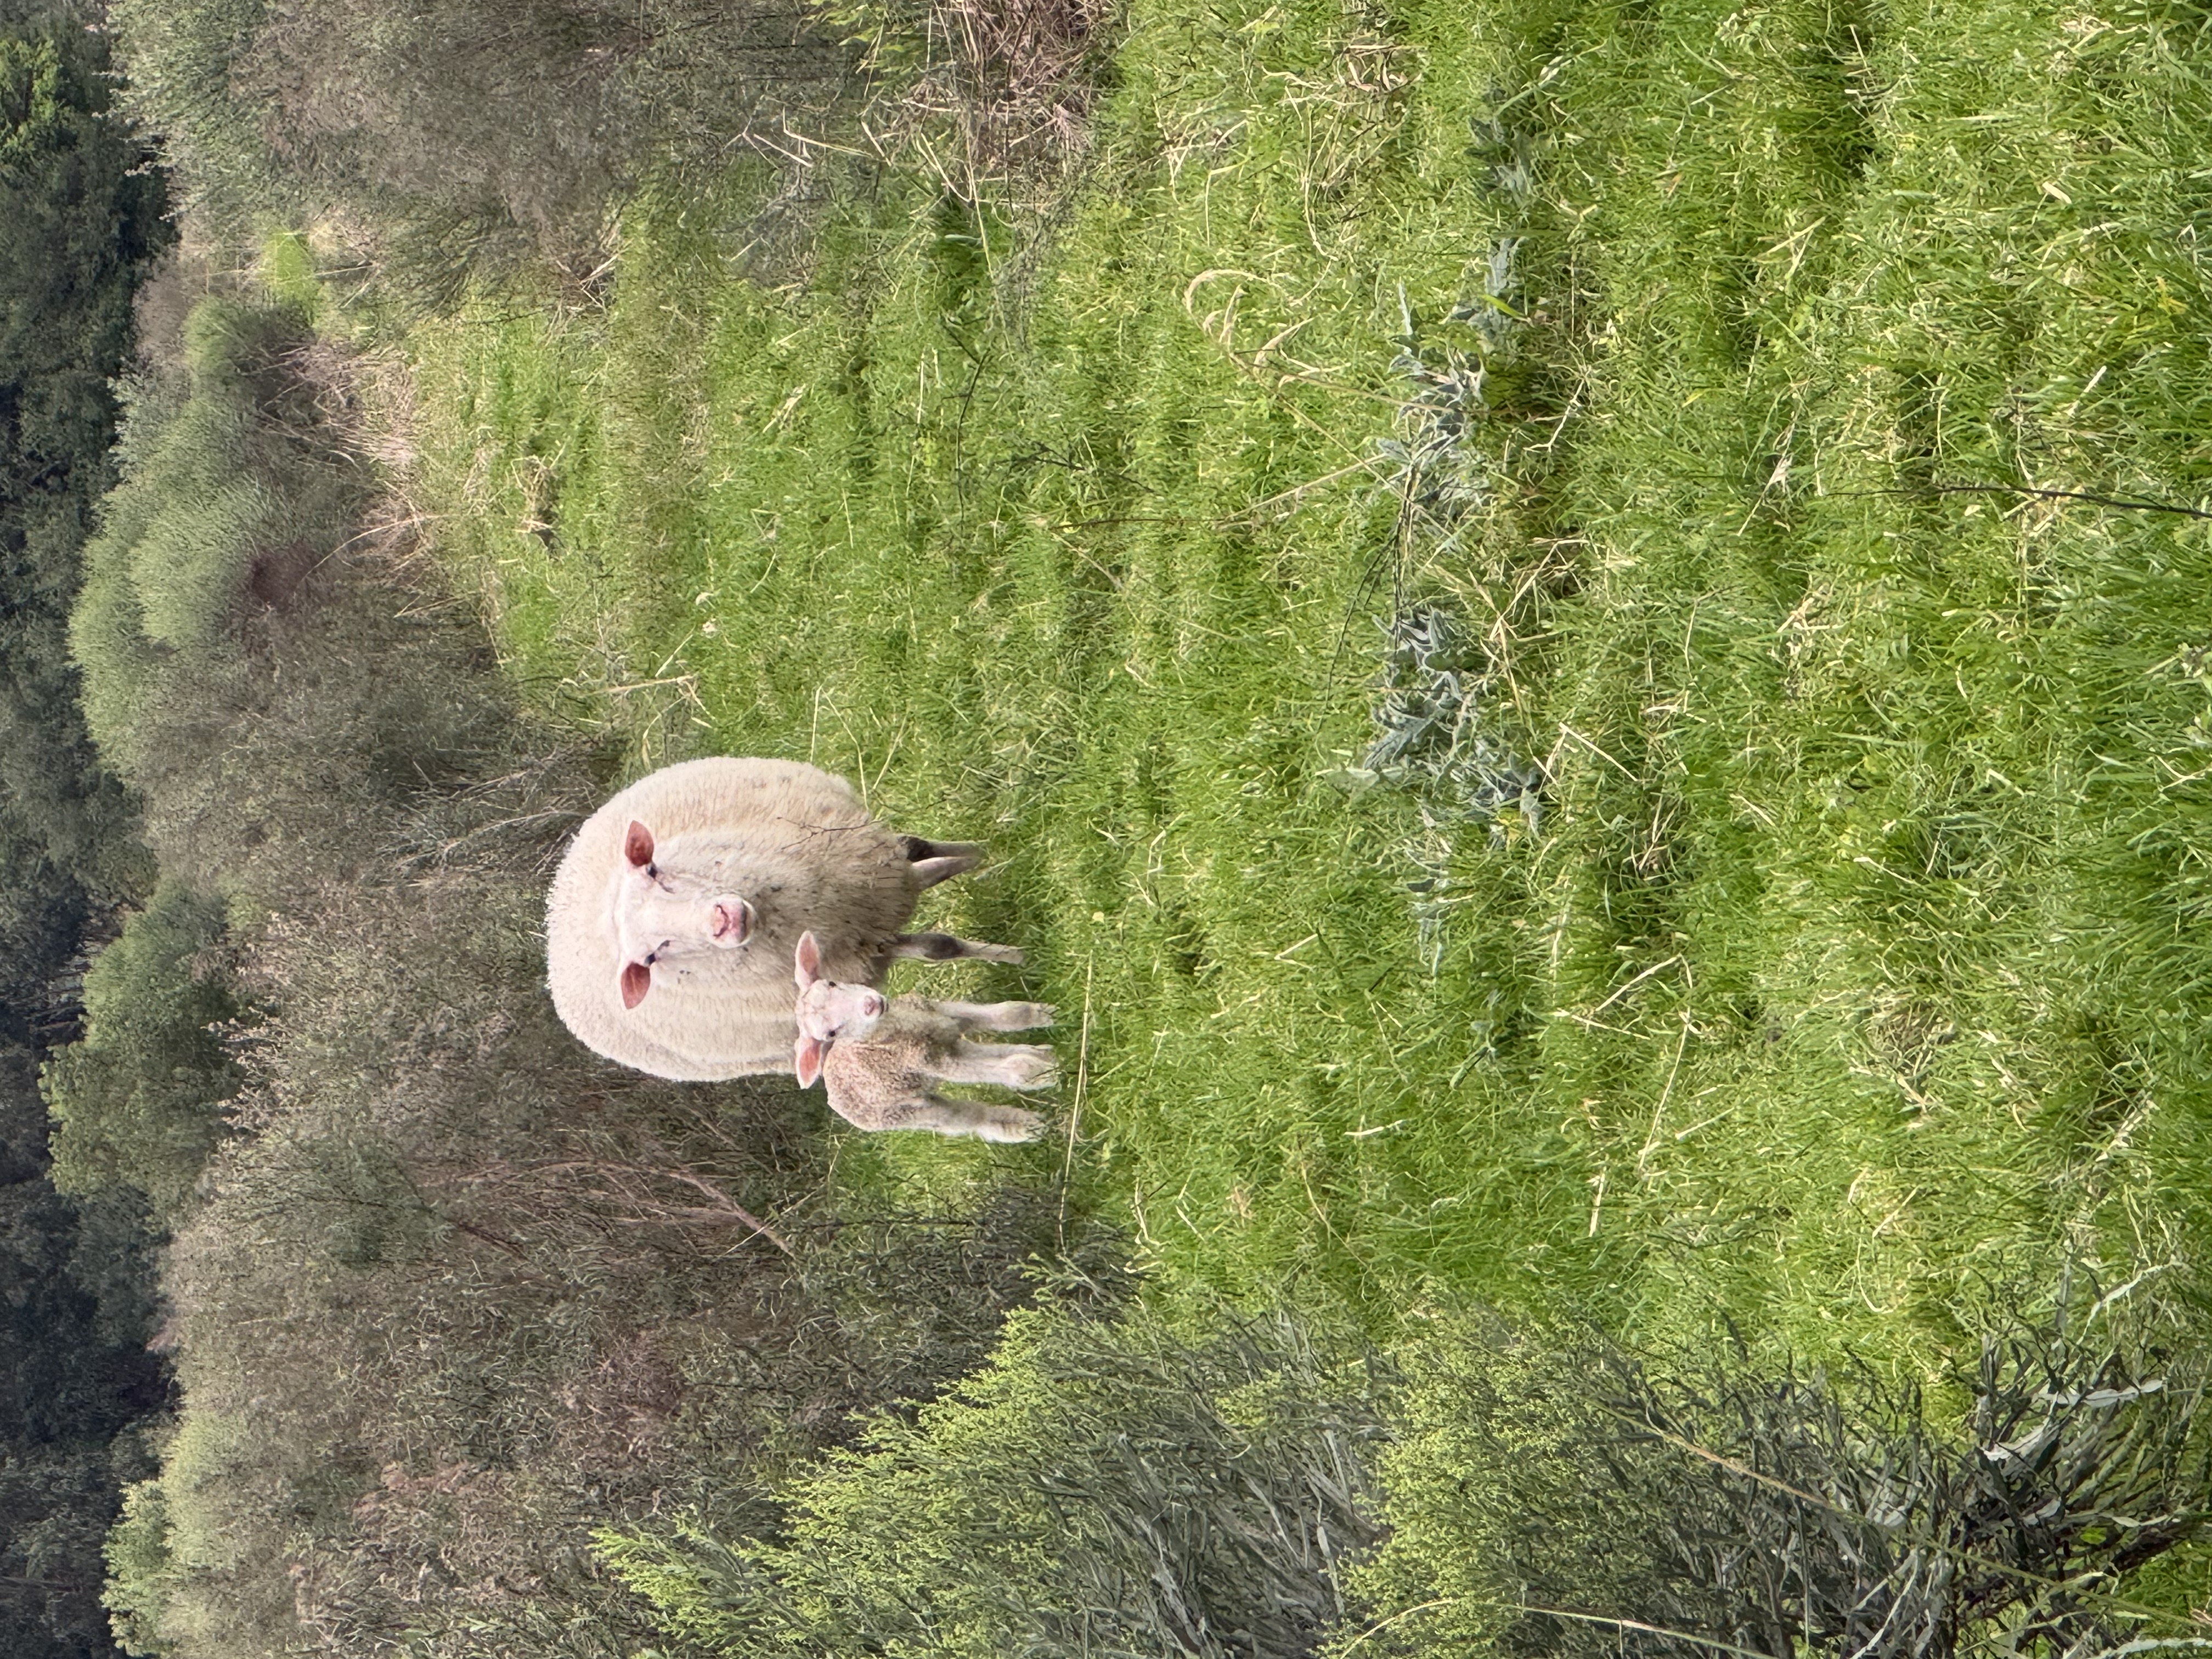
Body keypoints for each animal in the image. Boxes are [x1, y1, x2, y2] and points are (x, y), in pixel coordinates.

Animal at [546, 757, 1019, 1080]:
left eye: (655, 872)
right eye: (650, 958)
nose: (723, 920)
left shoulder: (871, 894)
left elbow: (937, 902)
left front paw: (986, 856)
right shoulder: (868, 943)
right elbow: (940, 945)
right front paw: (1016, 954)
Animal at [792, 931, 1055, 1141]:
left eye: (832, 984)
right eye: (831, 1033)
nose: (870, 1005)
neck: (905, 1028)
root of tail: (832, 1092)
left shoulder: (944, 1019)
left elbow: (1008, 1015)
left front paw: (1041, 1016)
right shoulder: (936, 1063)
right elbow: (1010, 1070)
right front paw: (1040, 1074)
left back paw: (1042, 1054)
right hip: (909, 1112)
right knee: (966, 1117)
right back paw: (1024, 1127)